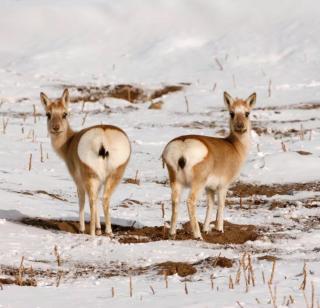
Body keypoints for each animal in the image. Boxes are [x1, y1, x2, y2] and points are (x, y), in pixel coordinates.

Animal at [40, 89, 130, 236]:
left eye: (64, 113)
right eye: (48, 114)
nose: (56, 128)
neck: (69, 143)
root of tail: (103, 138)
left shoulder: (77, 180)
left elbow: (81, 199)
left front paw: (82, 228)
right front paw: (99, 228)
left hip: (90, 176)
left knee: (91, 200)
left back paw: (91, 232)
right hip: (114, 174)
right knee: (104, 198)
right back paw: (108, 231)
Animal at [161, 91, 256, 241]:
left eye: (247, 113)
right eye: (232, 113)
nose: (240, 126)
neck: (234, 146)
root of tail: (182, 144)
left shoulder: (209, 188)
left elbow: (210, 204)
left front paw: (206, 229)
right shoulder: (223, 186)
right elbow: (221, 204)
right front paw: (219, 229)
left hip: (175, 182)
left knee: (175, 201)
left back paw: (172, 233)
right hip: (197, 184)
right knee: (190, 201)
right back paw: (197, 235)